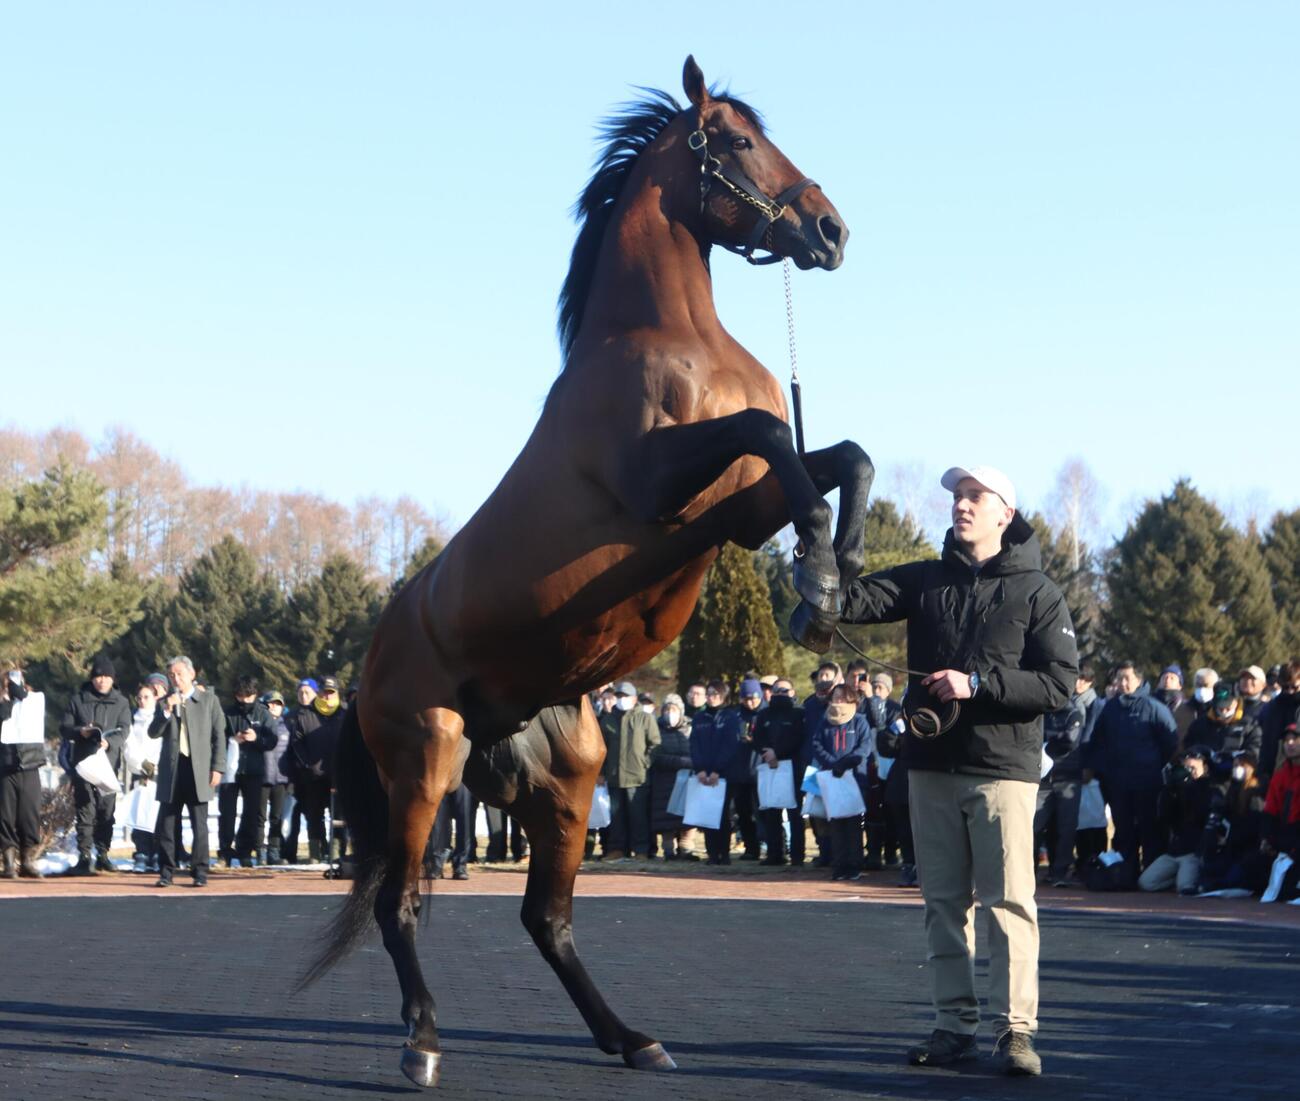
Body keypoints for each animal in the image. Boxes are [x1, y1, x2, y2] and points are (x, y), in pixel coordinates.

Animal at [301, 55, 875, 1087]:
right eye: (736, 141)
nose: (830, 230)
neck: (672, 343)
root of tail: (365, 671)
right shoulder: (668, 490)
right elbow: (775, 434)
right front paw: (816, 577)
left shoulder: (734, 511)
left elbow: (842, 455)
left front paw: (838, 568)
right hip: (426, 762)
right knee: (399, 902)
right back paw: (423, 1042)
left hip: (568, 783)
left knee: (548, 916)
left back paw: (630, 1036)